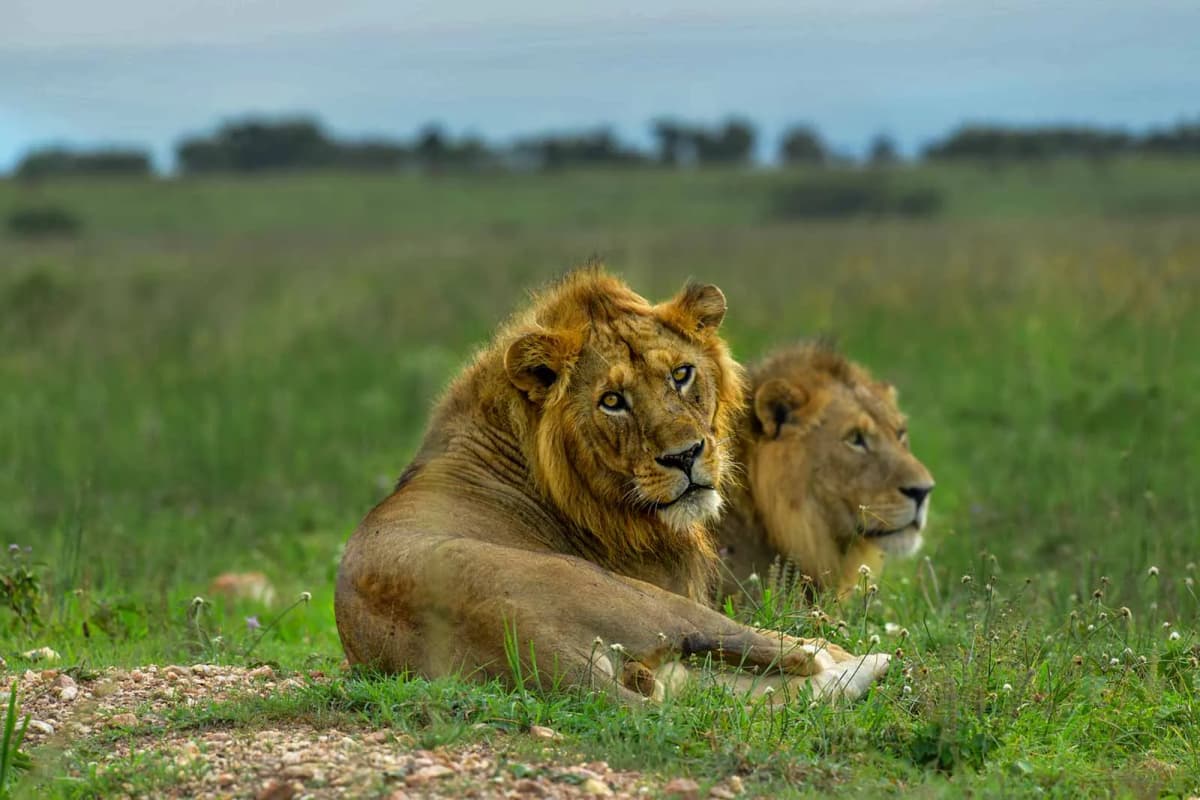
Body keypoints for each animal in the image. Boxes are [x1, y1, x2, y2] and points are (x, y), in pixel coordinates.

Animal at [335, 270, 890, 703]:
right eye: (612, 401)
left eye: (682, 374)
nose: (685, 456)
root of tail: (535, 651)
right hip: (637, 599)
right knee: (789, 656)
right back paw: (867, 660)